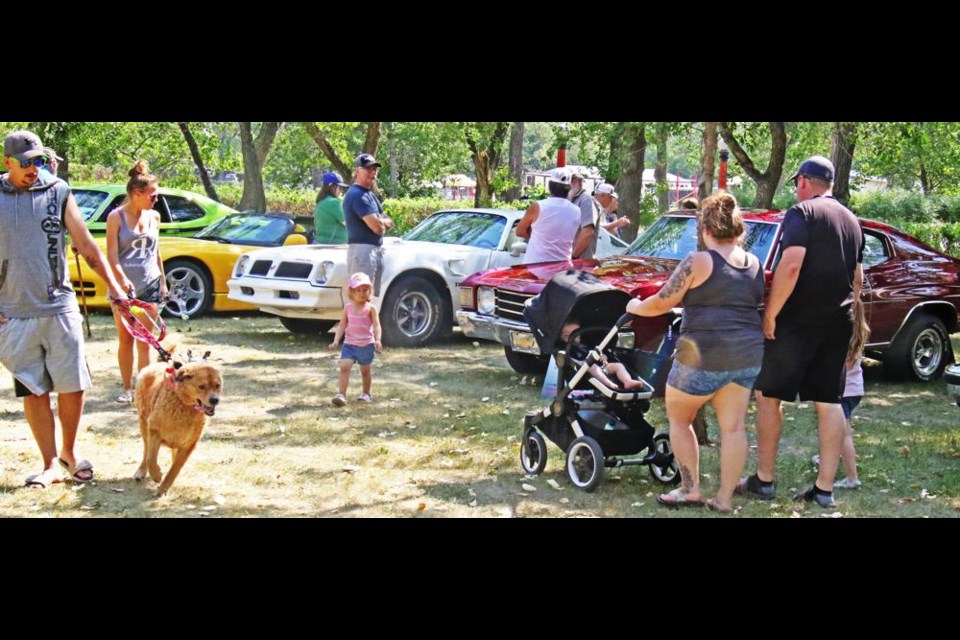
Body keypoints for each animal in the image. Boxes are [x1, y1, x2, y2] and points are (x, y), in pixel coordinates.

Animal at [133, 360, 223, 496]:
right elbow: (151, 459)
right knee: (146, 451)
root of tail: (157, 363)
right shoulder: (154, 430)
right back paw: (141, 471)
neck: (184, 404)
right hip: (143, 424)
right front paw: (157, 476)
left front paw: (163, 488)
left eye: (217, 385)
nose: (215, 400)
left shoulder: (188, 445)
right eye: (202, 386)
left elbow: (175, 469)